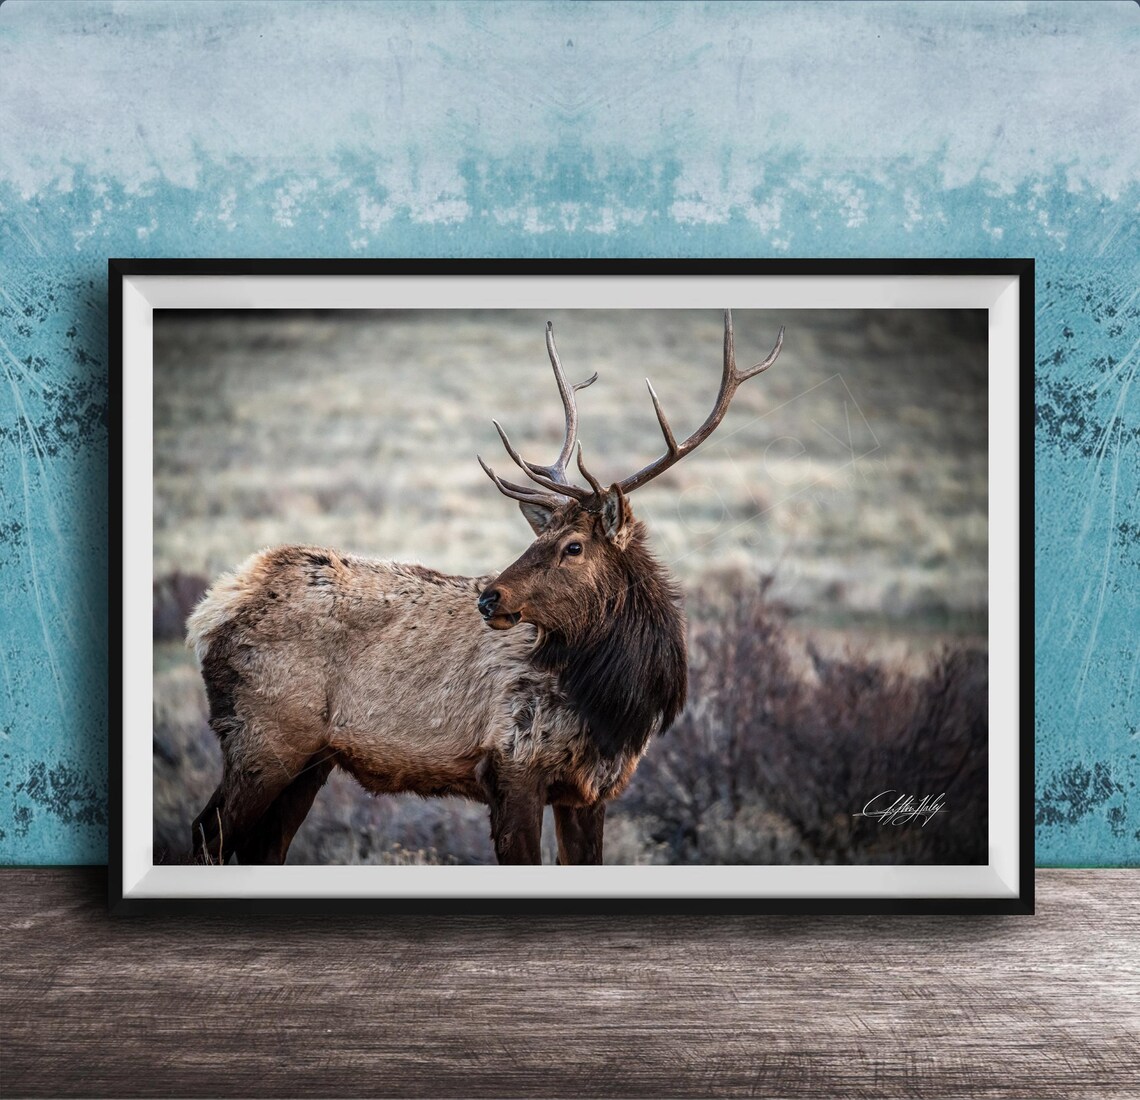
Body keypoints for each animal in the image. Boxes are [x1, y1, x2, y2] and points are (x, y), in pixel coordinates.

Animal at [185, 311, 783, 865]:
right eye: (544, 536)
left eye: (573, 547)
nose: (490, 596)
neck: (616, 706)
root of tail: (213, 609)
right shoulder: (511, 765)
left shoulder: (590, 791)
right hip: (264, 737)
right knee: (206, 832)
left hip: (309, 760)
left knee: (262, 847)